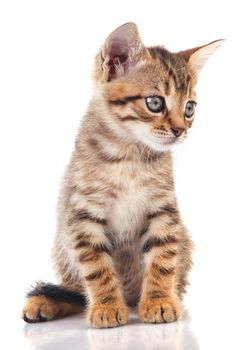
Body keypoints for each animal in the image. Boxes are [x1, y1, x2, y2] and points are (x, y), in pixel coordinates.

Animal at [21, 22, 222, 328]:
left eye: (189, 108)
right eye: (155, 103)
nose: (180, 130)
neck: (130, 156)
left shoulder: (164, 211)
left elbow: (163, 259)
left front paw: (159, 301)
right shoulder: (83, 214)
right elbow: (96, 267)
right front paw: (105, 306)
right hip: (62, 244)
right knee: (74, 292)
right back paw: (46, 302)